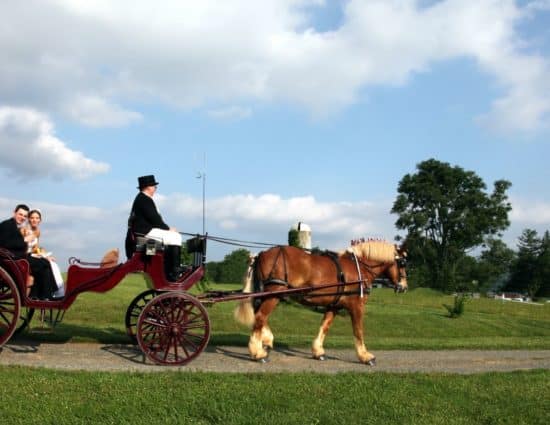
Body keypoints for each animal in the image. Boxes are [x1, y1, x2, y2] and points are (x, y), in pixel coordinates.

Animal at [235, 240, 408, 362]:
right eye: (402, 263)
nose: (404, 287)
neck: (359, 268)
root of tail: (261, 254)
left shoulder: (334, 306)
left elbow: (324, 326)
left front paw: (318, 351)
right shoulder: (357, 306)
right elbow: (358, 331)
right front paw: (365, 356)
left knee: (259, 316)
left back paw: (266, 340)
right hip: (274, 294)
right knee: (260, 317)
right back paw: (258, 352)